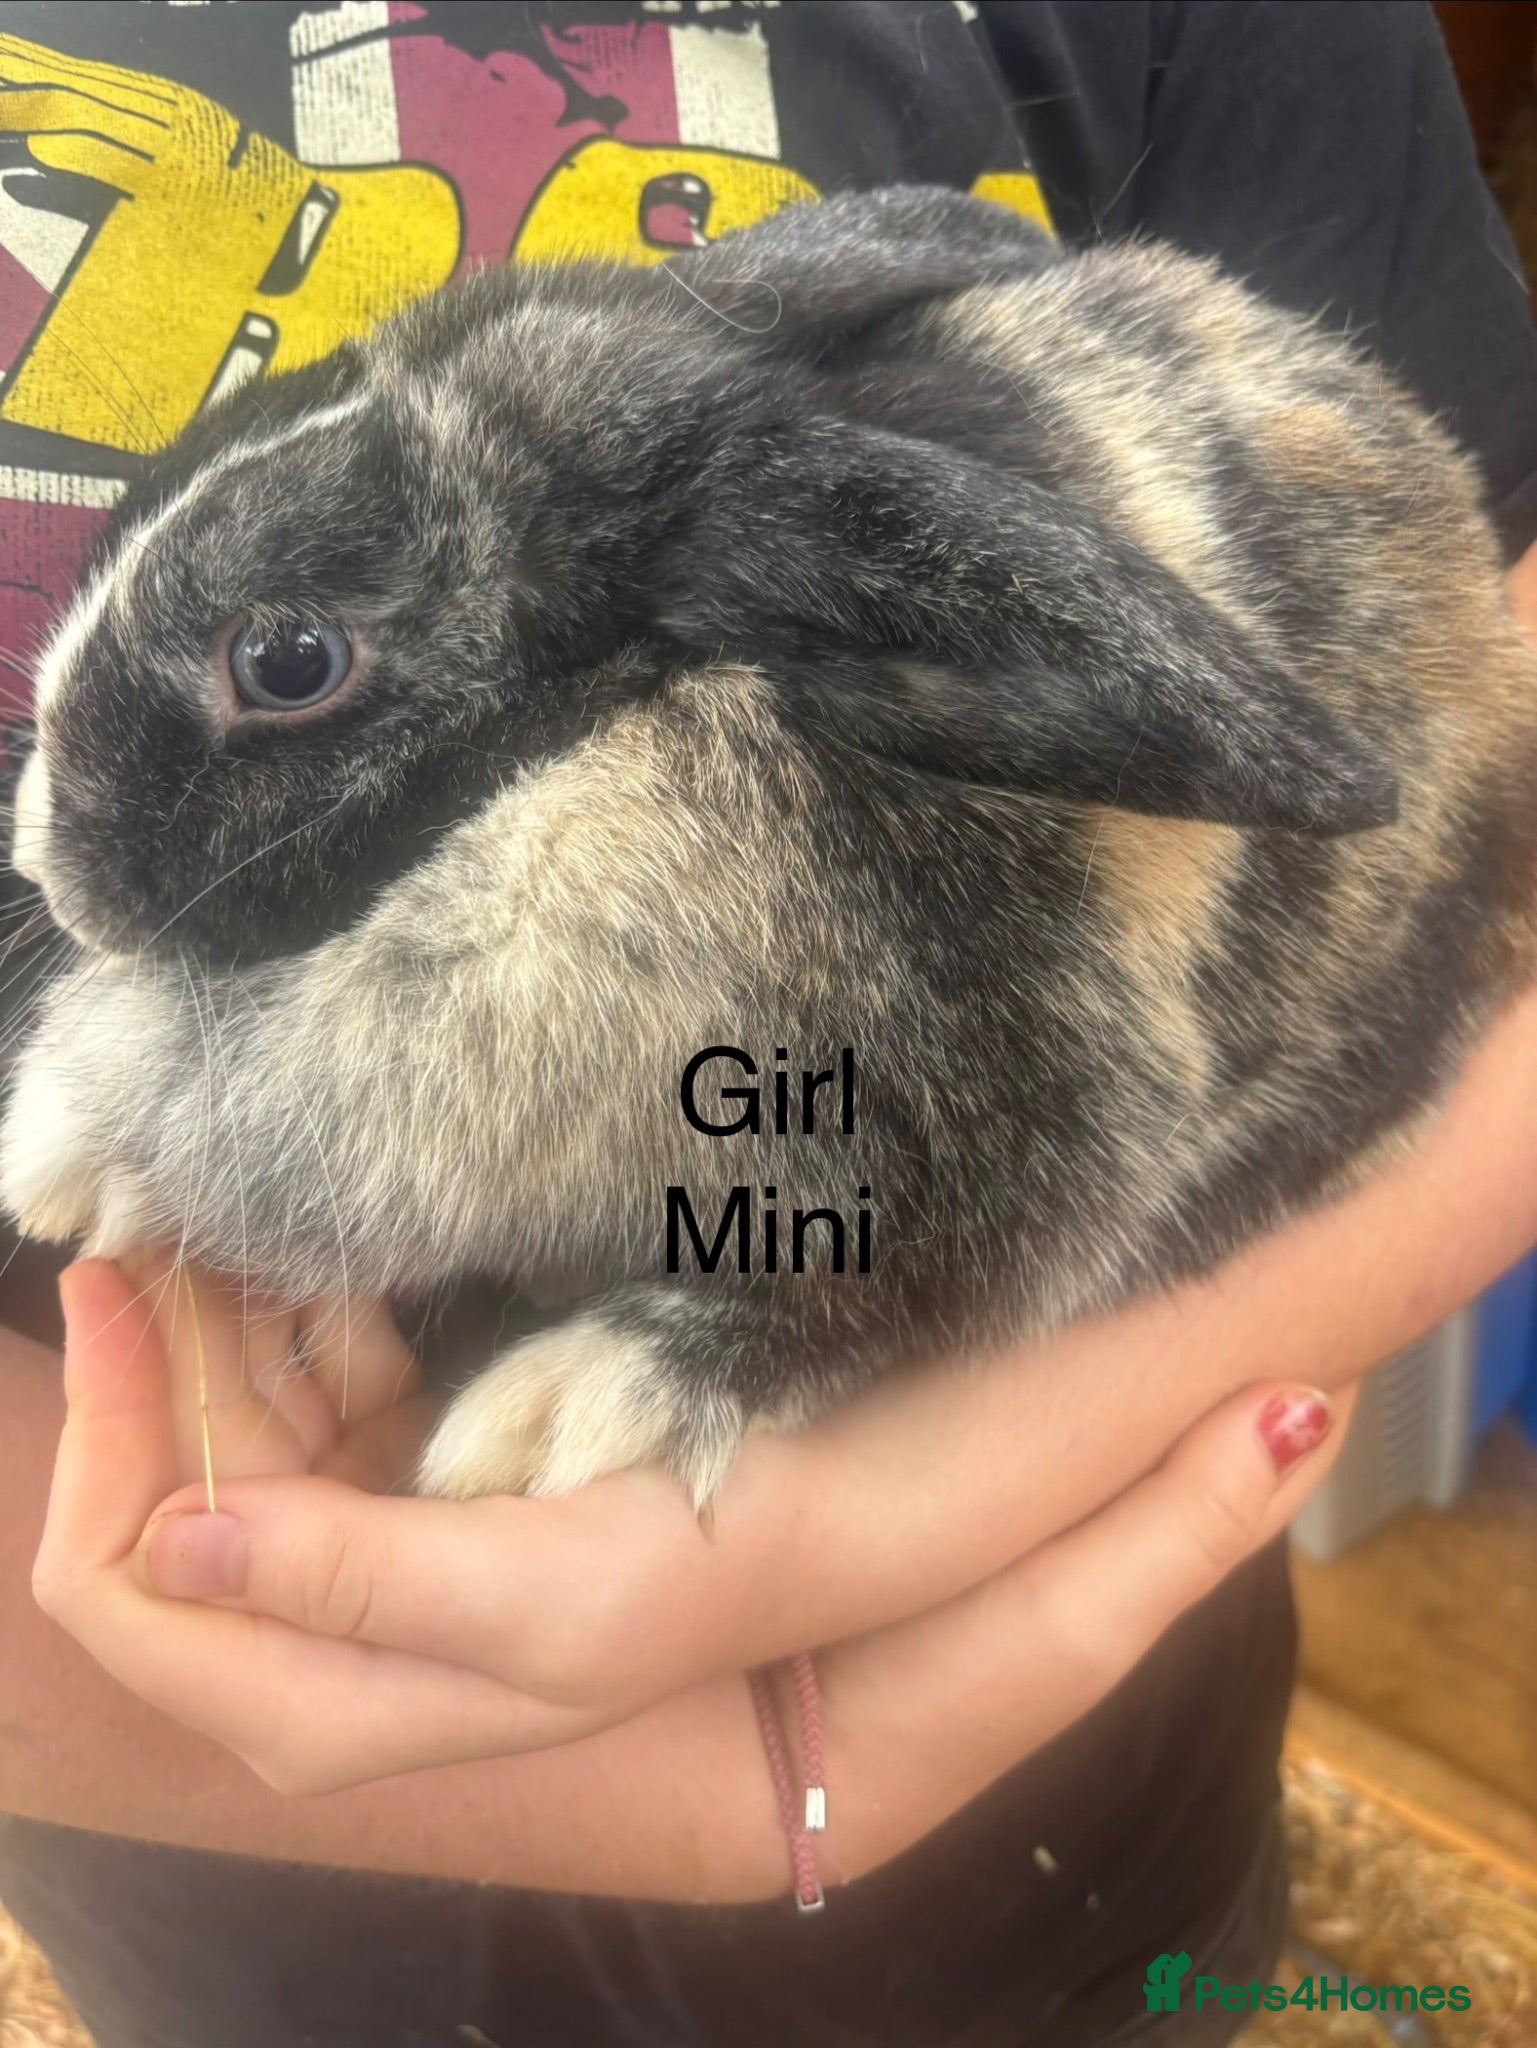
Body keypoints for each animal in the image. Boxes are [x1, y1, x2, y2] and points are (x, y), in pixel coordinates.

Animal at [4, 187, 1535, 1506]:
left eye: (287, 658)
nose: (46, 857)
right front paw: (70, 1162)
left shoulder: (1015, 1157)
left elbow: (868, 1304)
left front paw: (567, 1405)